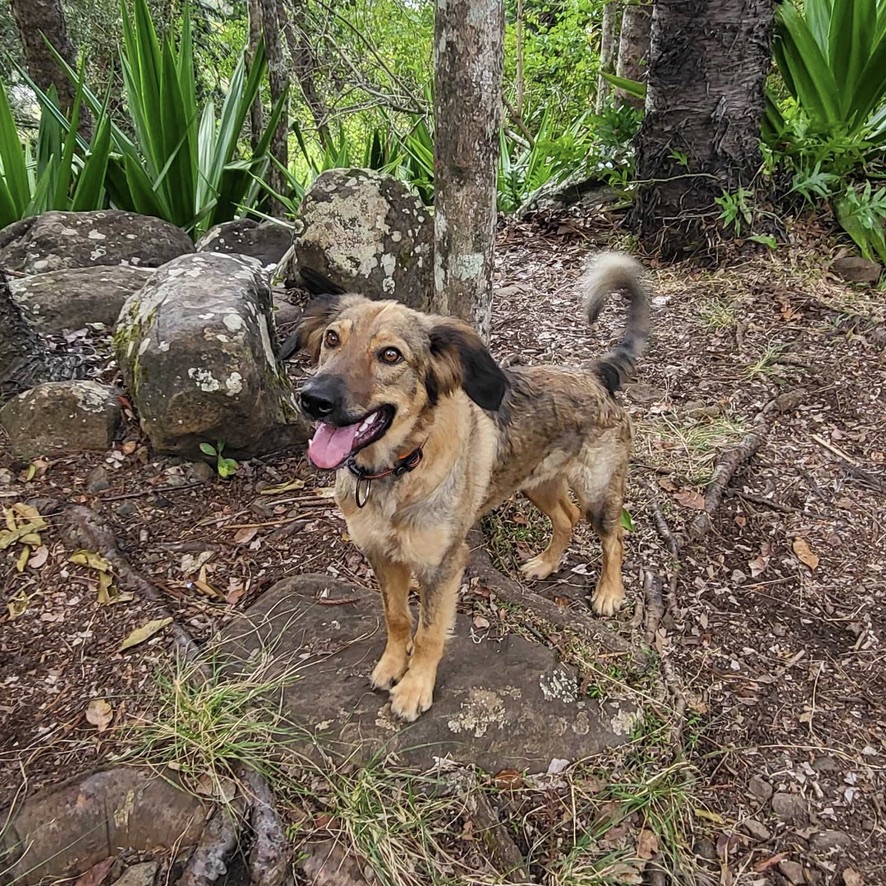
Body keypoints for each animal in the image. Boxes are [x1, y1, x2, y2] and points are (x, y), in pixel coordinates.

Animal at [294, 253, 648, 724]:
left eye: (391, 355)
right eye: (332, 339)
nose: (312, 399)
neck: (396, 472)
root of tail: (594, 374)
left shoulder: (442, 566)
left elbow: (428, 632)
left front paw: (415, 688)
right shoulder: (381, 556)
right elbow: (397, 617)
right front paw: (392, 665)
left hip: (597, 489)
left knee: (613, 536)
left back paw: (609, 592)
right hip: (534, 481)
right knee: (566, 517)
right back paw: (545, 564)